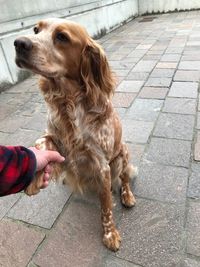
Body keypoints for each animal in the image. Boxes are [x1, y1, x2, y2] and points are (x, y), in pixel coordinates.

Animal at [13, 18, 136, 251]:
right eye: (36, 30)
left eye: (62, 37)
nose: (19, 43)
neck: (68, 101)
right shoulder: (56, 138)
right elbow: (41, 142)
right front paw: (34, 178)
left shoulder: (101, 164)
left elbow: (106, 206)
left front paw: (110, 234)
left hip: (122, 155)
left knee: (124, 179)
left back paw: (127, 196)